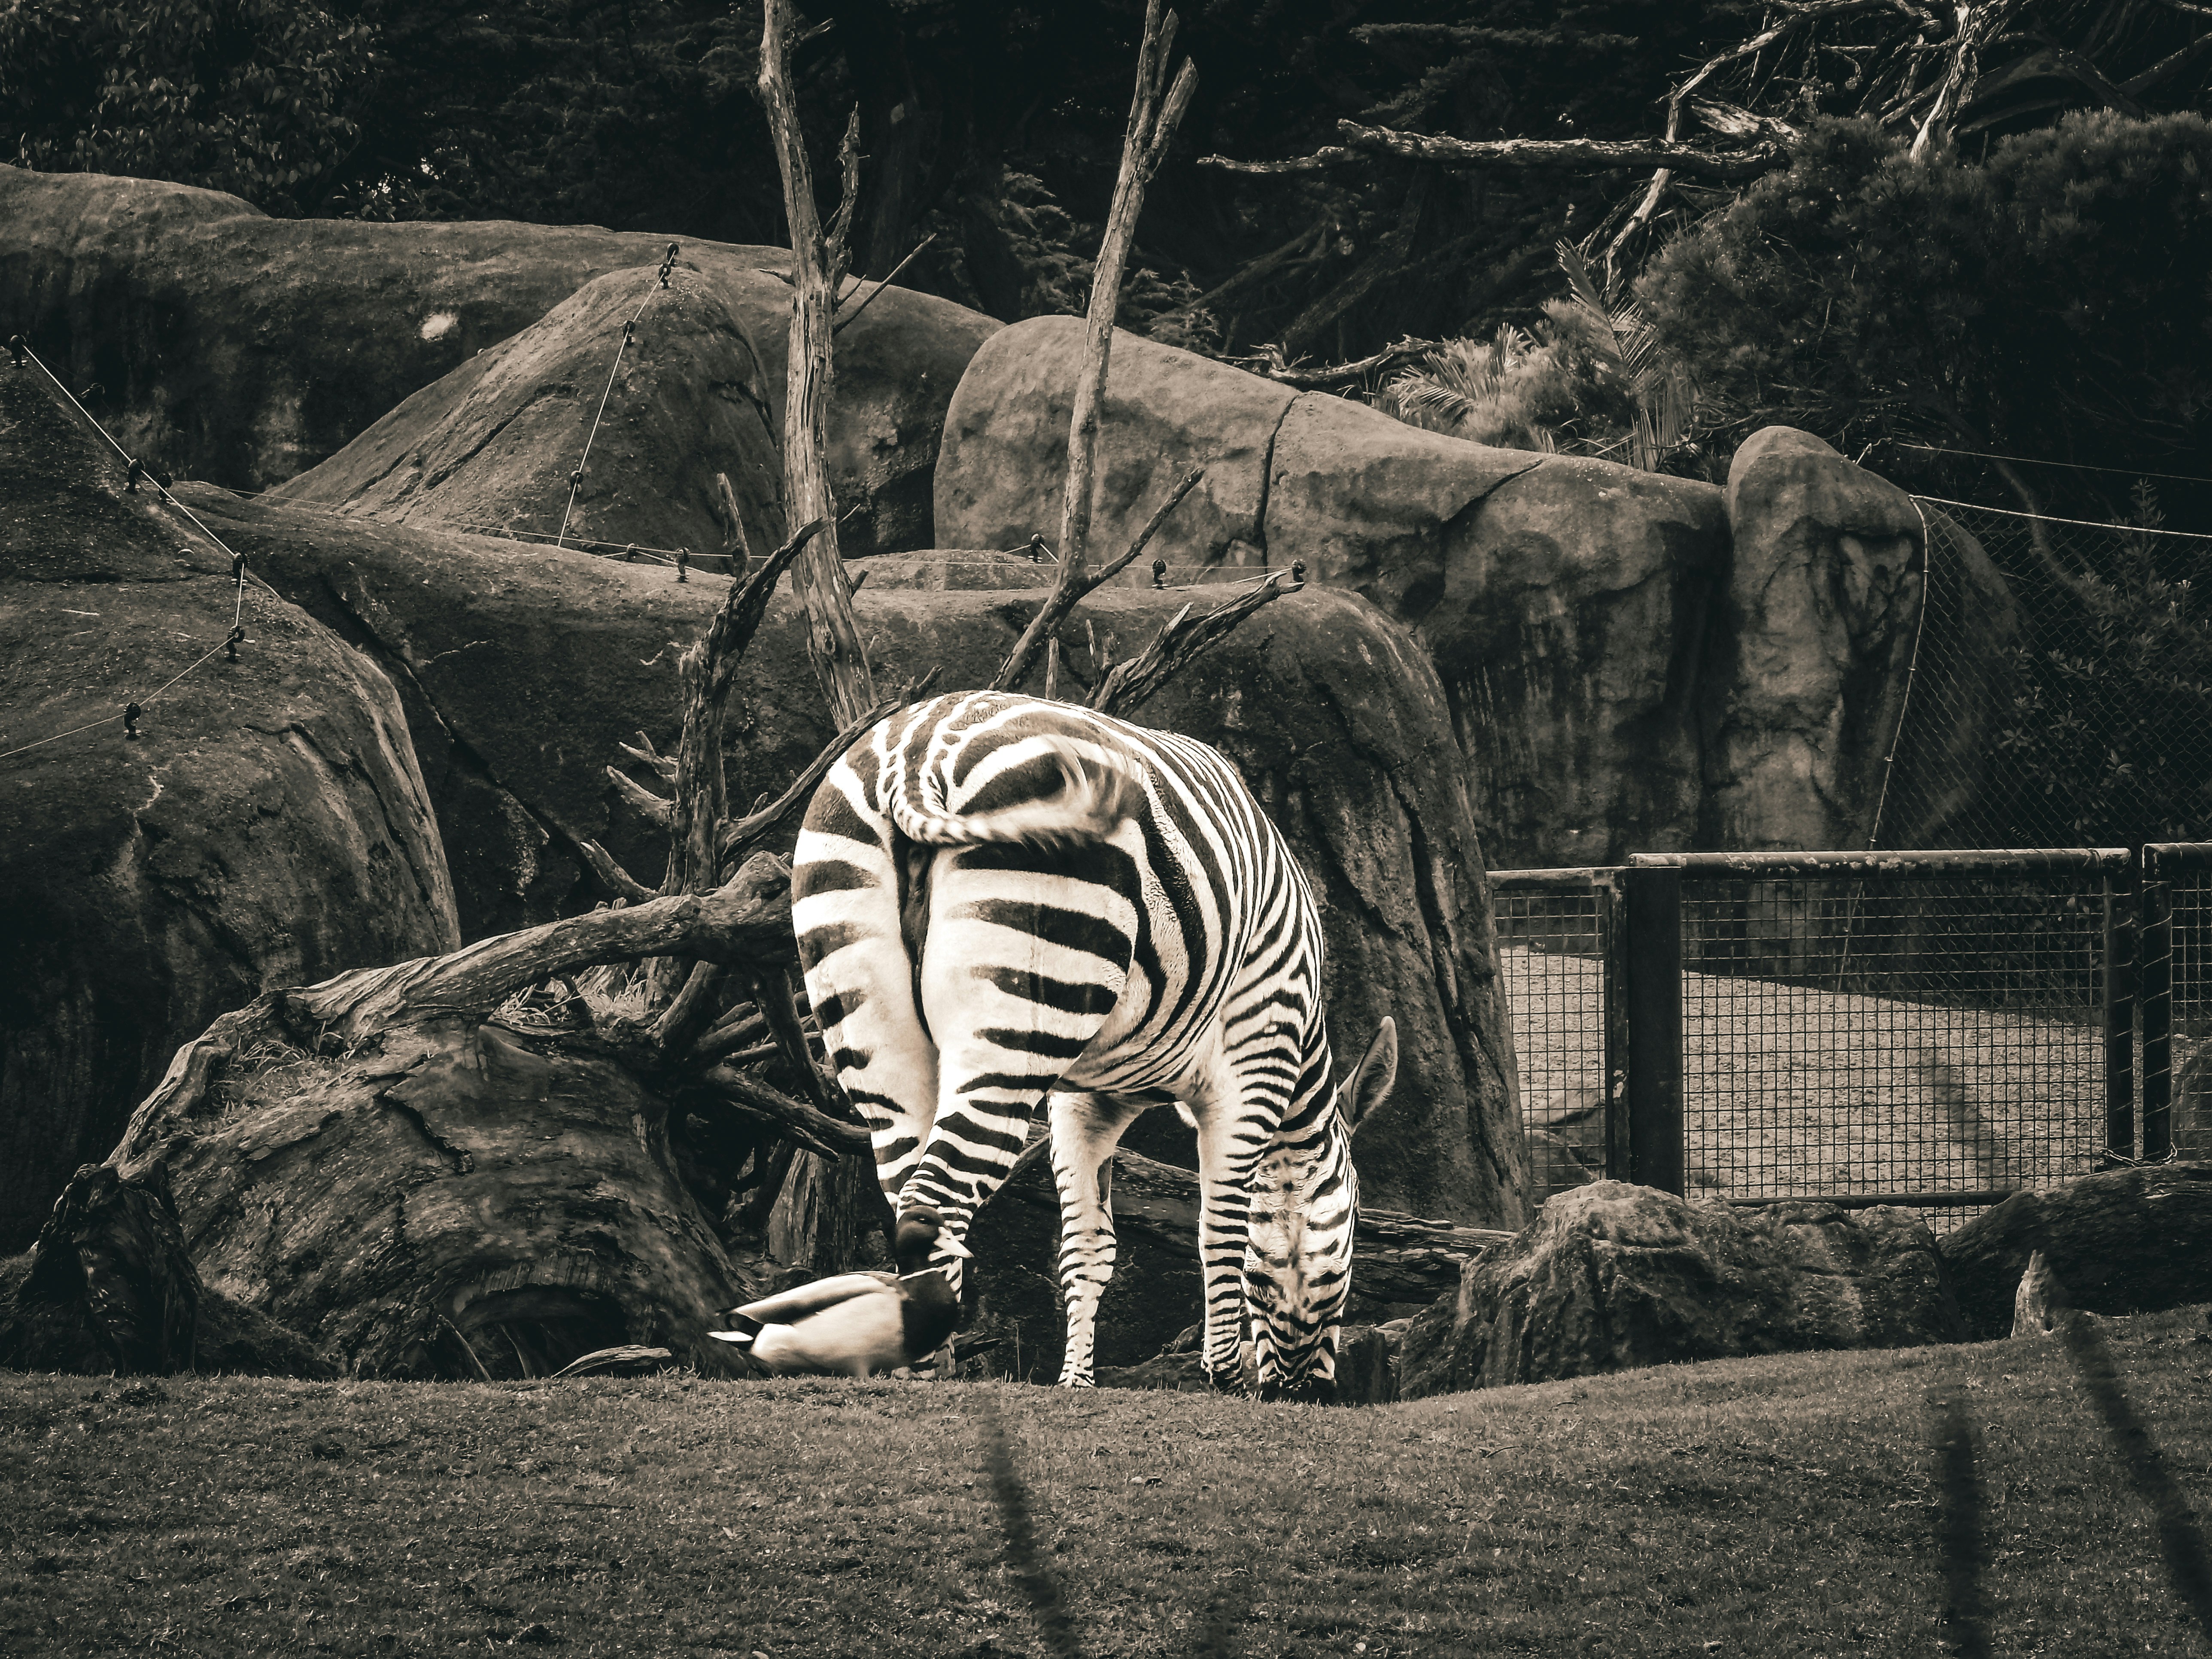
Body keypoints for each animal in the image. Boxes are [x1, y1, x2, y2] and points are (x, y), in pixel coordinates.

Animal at [790, 689, 1397, 1401]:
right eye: (1353, 1234)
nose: (1316, 1395)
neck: (1300, 1065)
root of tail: (916, 755)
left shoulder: (1088, 1102)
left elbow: (1089, 1247)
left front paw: (1076, 1379)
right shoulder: (1254, 1061)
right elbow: (1223, 1227)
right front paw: (1226, 1378)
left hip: (873, 1023)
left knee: (903, 1186)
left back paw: (918, 1366)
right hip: (1031, 993)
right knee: (931, 1202)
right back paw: (938, 1370)